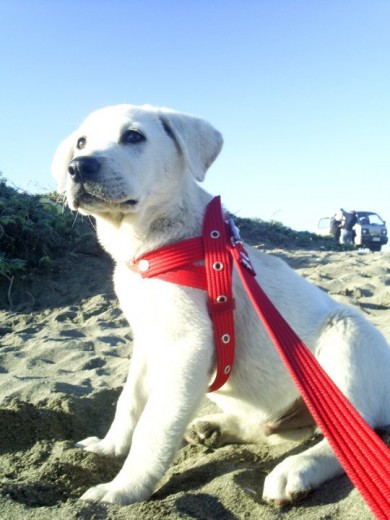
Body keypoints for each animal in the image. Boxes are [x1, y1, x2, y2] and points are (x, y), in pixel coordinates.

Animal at [51, 103, 390, 506]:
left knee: (353, 433)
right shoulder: (148, 341)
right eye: (81, 143)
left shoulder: (189, 347)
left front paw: (122, 489)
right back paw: (216, 428)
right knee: (272, 427)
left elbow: (154, 426)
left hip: (348, 335)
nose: (79, 167)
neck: (155, 248)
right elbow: (128, 401)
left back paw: (296, 469)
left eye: (133, 136)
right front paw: (109, 447)